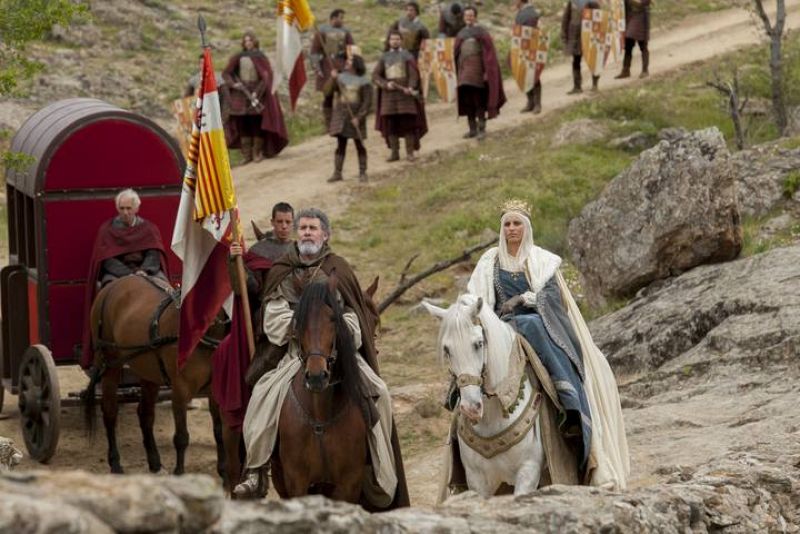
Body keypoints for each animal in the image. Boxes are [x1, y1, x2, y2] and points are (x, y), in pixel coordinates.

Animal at [80, 274, 238, 488]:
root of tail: (111, 286)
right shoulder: (180, 390)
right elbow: (181, 437)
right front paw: (180, 475)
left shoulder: (214, 391)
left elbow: (219, 431)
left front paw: (224, 473)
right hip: (110, 364)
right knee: (110, 412)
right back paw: (115, 463)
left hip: (149, 373)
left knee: (145, 414)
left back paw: (154, 463)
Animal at [271, 273, 370, 502]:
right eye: (298, 322)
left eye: (333, 318)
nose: (317, 376)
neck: (320, 417)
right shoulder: (296, 482)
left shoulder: (350, 483)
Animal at [423, 294, 546, 497]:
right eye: (447, 350)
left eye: (479, 343)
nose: (471, 408)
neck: (493, 418)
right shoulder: (477, 480)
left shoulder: (529, 471)